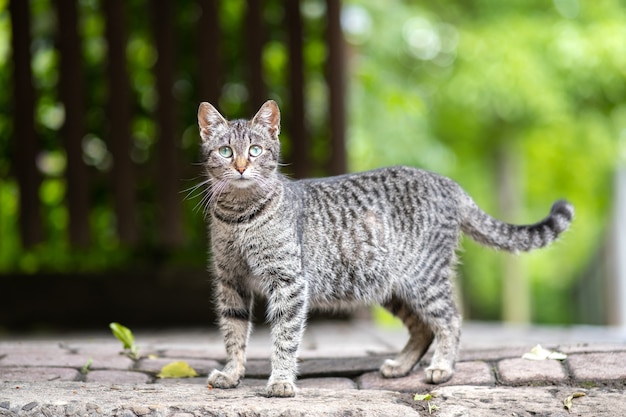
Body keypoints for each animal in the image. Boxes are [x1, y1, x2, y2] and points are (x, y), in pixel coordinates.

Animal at [197, 99, 572, 394]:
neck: (239, 217)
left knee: (450, 319)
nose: (241, 166)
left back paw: (442, 367)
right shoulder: (230, 282)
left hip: (423, 279)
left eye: (255, 150)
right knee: (423, 328)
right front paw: (232, 373)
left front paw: (280, 381)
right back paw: (402, 366)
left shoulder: (289, 282)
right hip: (392, 287)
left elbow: (284, 337)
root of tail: (448, 183)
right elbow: (233, 333)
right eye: (226, 151)